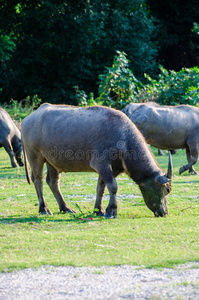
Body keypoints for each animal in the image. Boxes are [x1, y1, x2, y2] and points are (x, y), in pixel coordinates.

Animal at [21, 103, 172, 218]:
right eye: (166, 190)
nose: (164, 212)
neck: (123, 138)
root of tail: (27, 120)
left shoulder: (113, 168)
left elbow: (101, 187)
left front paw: (98, 210)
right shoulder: (101, 164)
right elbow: (113, 186)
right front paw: (112, 211)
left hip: (51, 160)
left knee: (52, 181)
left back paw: (65, 208)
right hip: (35, 155)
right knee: (38, 180)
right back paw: (44, 209)